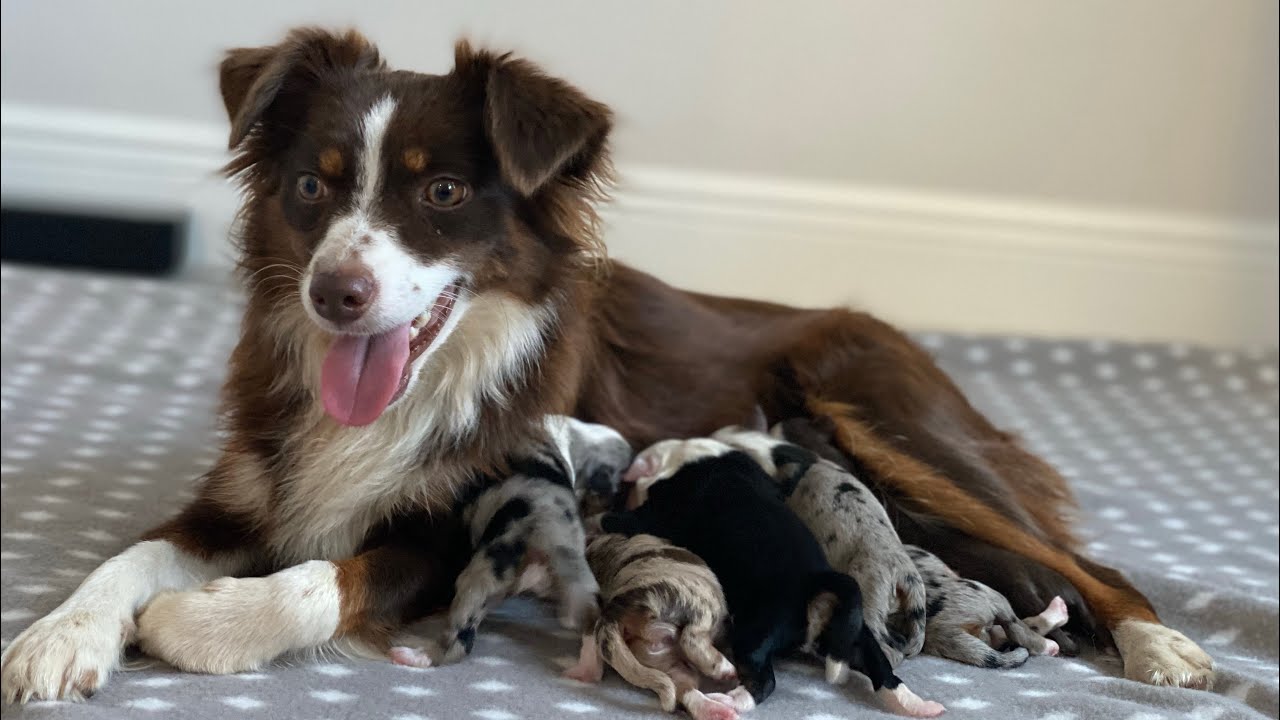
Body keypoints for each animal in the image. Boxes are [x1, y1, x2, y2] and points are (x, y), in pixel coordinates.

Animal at [389, 415, 629, 666]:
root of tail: (550, 534)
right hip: (580, 587)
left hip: (478, 578)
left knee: (459, 642)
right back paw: (585, 669)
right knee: (590, 624)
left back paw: (411, 656)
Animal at [565, 530, 752, 717]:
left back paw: (715, 711)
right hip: (698, 604)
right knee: (692, 641)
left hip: (664, 661)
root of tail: (613, 614)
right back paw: (725, 670)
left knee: (684, 689)